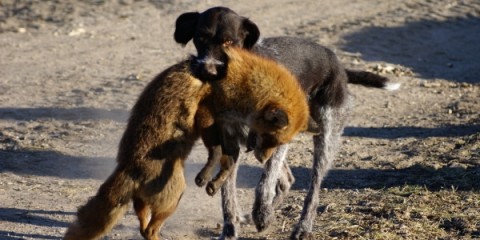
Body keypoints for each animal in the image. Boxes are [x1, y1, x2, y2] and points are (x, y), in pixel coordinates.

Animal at [174, 6, 400, 240]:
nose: (207, 71)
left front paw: (262, 215)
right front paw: (231, 228)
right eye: (201, 38)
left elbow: (265, 183)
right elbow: (228, 195)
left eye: (228, 42)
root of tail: (339, 66)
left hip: (325, 136)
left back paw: (302, 225)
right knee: (287, 178)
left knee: (313, 187)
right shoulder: (232, 141)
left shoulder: (280, 137)